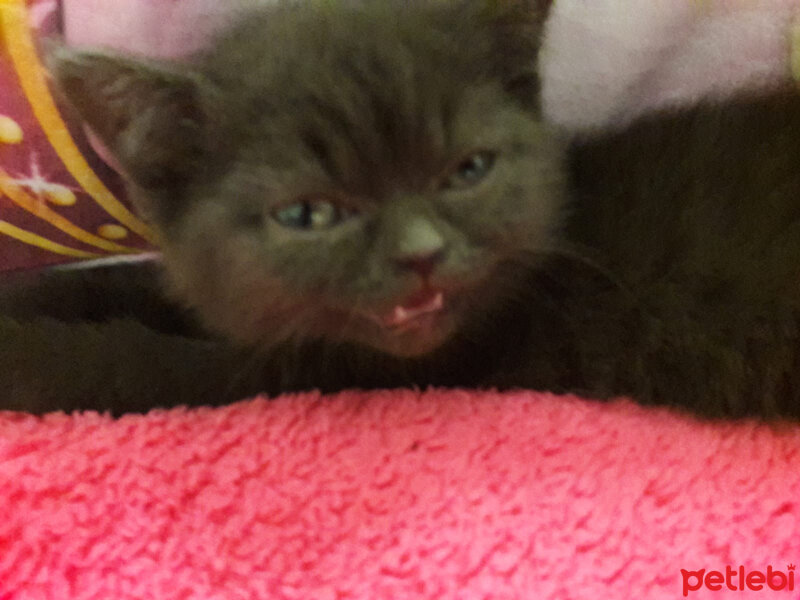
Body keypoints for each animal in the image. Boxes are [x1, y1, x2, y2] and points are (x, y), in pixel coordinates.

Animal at [4, 0, 800, 420]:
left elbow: (139, 363)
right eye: (308, 215)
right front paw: (33, 294)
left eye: (467, 170)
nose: (421, 253)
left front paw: (29, 350)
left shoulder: (317, 378)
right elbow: (132, 283)